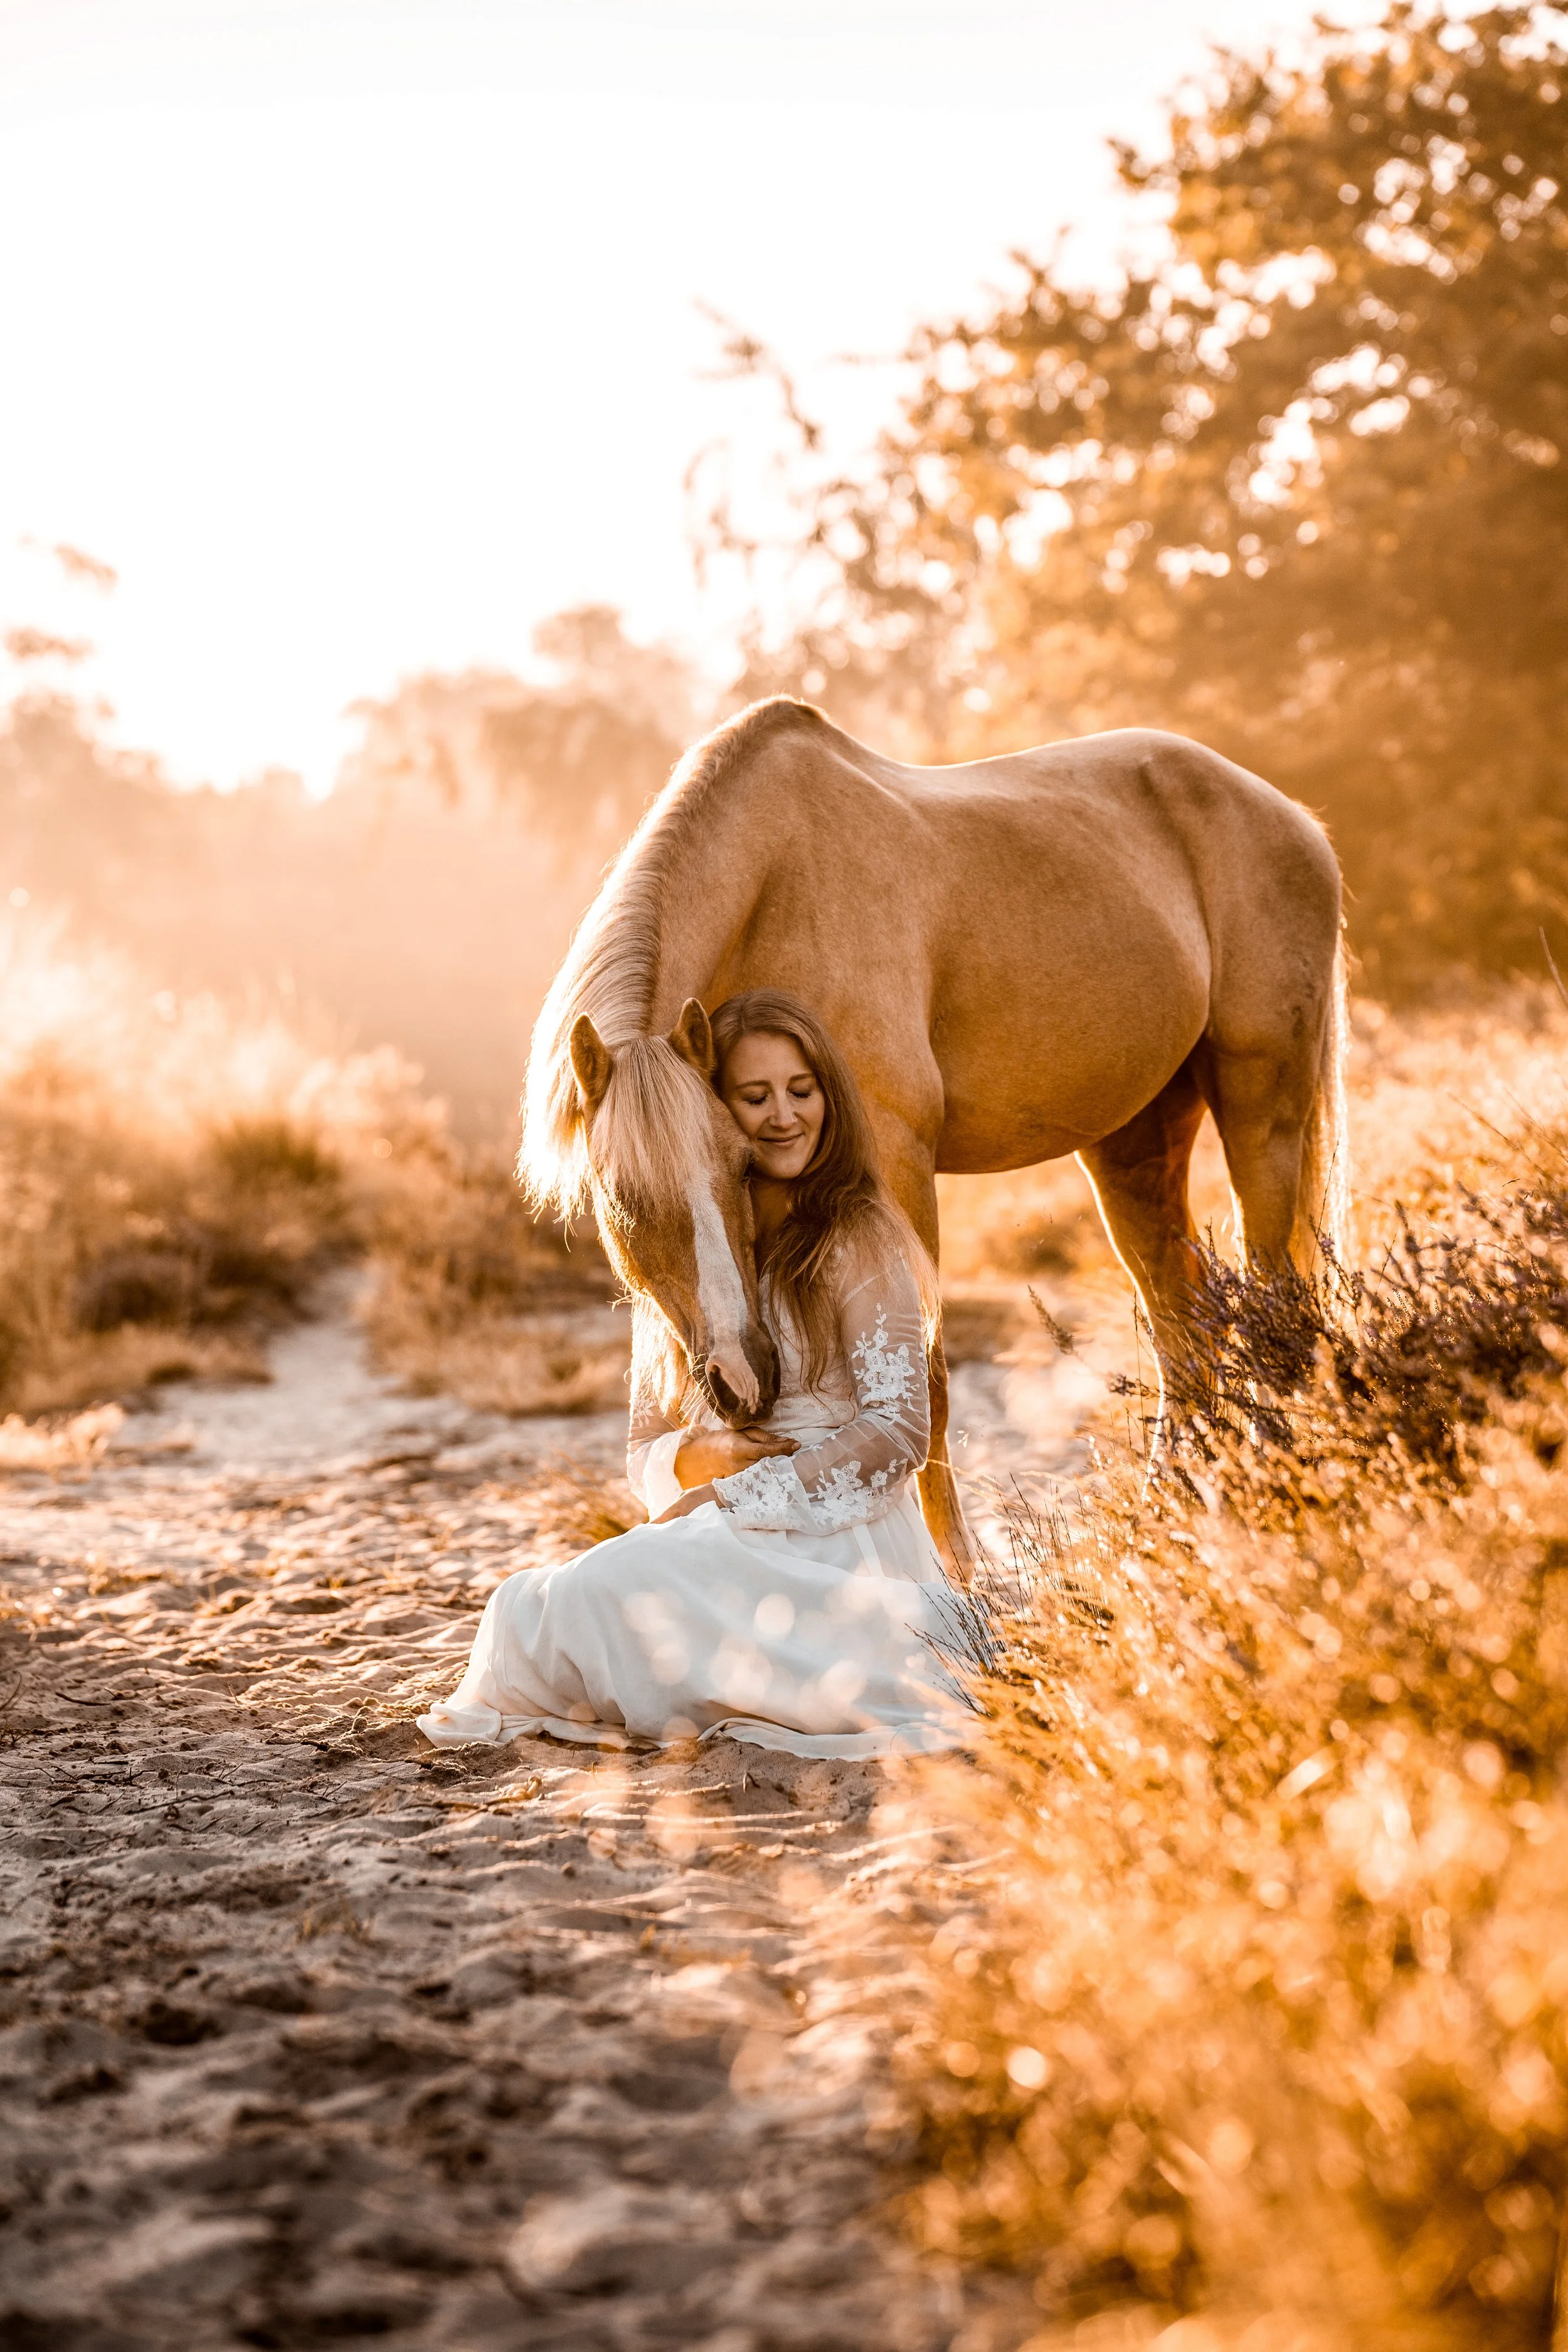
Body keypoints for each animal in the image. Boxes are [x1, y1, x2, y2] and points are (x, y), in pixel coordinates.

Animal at [521, 696, 1348, 1579]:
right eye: (621, 1199)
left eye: (743, 1165)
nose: (747, 1381)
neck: (777, 886)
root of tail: (1292, 817)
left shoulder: (895, 1161)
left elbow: (930, 1381)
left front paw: (962, 1575)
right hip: (1135, 1139)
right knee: (1182, 1322)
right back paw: (1175, 1509)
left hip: (1263, 1108)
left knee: (1274, 1302)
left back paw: (1276, 1486)